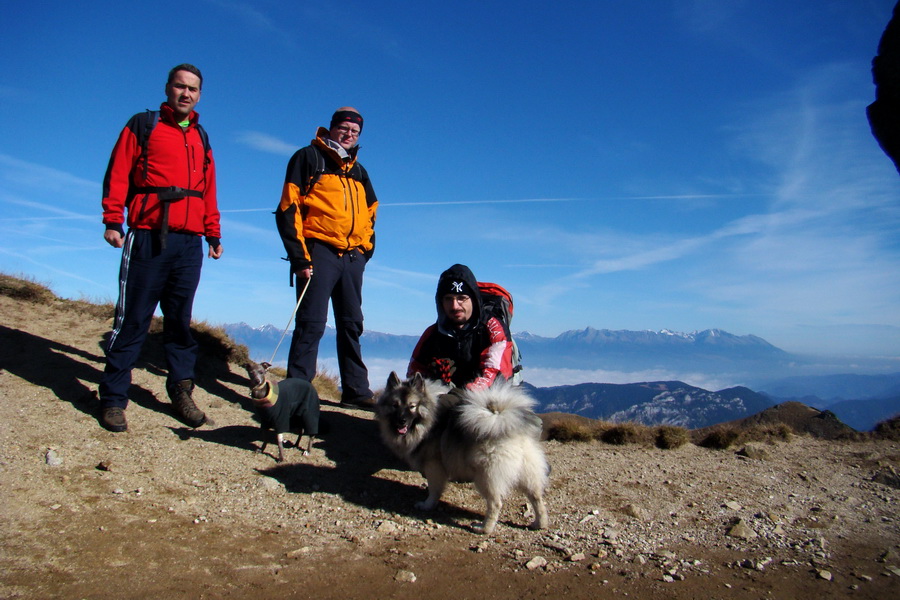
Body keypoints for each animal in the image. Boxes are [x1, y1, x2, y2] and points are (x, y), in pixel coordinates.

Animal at [372, 370, 548, 536]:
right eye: (395, 405)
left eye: (412, 406)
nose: (401, 421)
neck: (428, 420)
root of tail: (507, 426)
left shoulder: (434, 467)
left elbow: (434, 490)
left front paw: (427, 505)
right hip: (527, 475)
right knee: (536, 498)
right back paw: (539, 523)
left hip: (486, 477)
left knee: (496, 503)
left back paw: (484, 528)